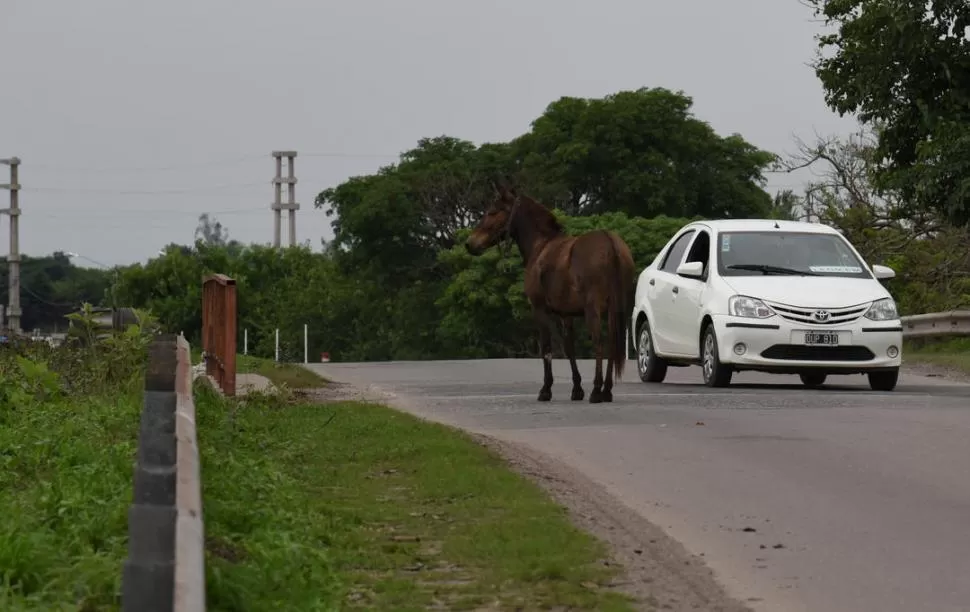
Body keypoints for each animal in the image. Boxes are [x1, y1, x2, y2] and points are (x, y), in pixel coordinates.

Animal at [464, 182, 636, 402]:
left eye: (492, 212)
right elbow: (569, 348)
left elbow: (546, 348)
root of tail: (610, 242)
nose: (470, 243)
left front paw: (546, 389)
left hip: (593, 310)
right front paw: (577, 388)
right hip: (615, 310)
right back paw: (606, 390)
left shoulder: (539, 309)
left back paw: (597, 390)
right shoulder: (566, 315)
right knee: (613, 344)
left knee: (599, 343)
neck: (541, 245)